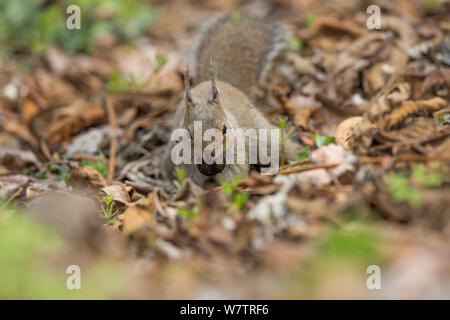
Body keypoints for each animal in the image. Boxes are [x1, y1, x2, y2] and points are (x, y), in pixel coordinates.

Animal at [162, 13, 298, 188]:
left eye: (225, 129)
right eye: (188, 133)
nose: (209, 158)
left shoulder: (235, 153)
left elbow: (234, 175)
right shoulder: (179, 158)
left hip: (262, 135)